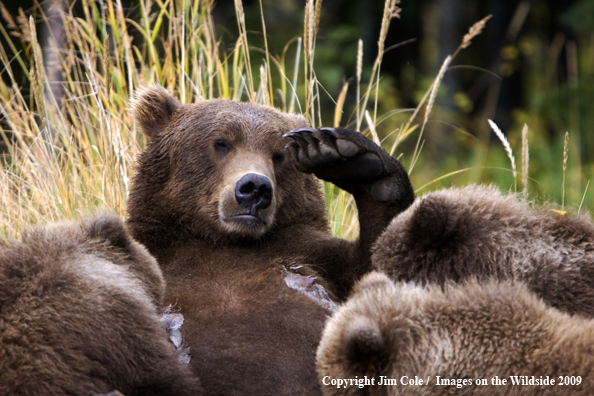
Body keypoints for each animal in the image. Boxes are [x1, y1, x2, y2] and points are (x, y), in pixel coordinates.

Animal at [125, 87, 412, 396]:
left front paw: (349, 158)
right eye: (221, 142)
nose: (255, 188)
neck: (225, 240)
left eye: (278, 154)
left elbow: (376, 262)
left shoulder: (309, 254)